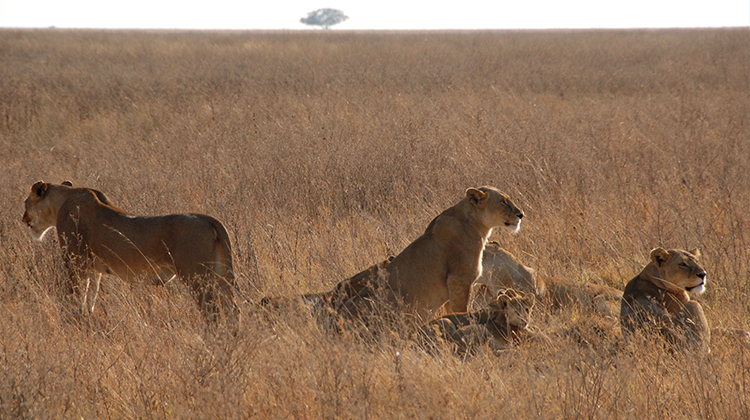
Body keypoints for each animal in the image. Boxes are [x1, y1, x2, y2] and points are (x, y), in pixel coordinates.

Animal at [22, 181, 239, 326]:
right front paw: (87, 318)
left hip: (196, 276)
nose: (23, 218)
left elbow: (75, 295)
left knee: (212, 311)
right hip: (220, 275)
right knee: (233, 310)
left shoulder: (75, 262)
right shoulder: (94, 269)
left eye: (25, 203)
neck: (63, 199)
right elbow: (91, 296)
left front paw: (73, 320)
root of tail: (208, 219)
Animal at [378, 186, 524, 322]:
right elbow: (461, 310)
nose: (521, 214)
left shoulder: (451, 286)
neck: (476, 224)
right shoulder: (460, 279)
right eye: (503, 202)